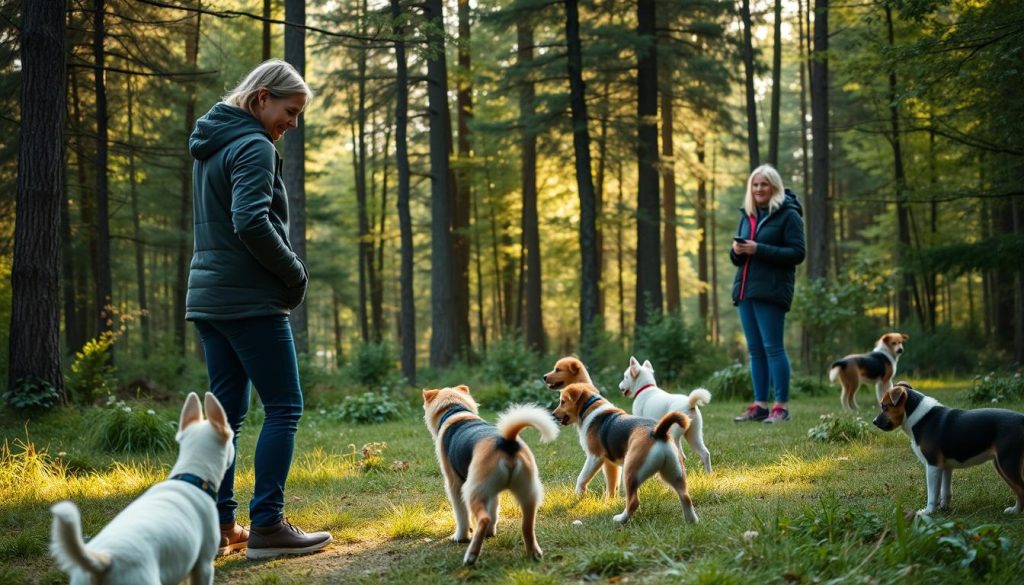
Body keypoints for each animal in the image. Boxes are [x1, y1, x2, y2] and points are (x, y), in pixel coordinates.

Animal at [421, 387, 561, 565]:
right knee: (527, 525)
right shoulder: (492, 492)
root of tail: (507, 442)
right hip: (527, 491)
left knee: (483, 518)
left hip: (473, 490)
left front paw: (460, 537)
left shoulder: (454, 484)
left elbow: (461, 515)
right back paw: (534, 553)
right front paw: (490, 533)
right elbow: (494, 509)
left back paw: (471, 555)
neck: (456, 411)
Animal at [552, 383, 696, 524]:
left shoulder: (594, 457)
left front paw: (578, 495)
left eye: (562, 402)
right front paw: (609, 502)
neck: (589, 407)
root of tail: (658, 433)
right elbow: (611, 485)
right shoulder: (611, 464)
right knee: (685, 497)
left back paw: (620, 519)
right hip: (674, 472)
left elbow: (582, 478)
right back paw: (692, 521)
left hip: (630, 471)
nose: (553, 414)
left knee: (633, 502)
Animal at [872, 383, 1024, 514]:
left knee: (1020, 489)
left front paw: (928, 512)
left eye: (885, 407)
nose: (874, 422)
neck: (917, 416)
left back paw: (1015, 511)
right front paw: (944, 508)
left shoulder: (933, 465)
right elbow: (945, 492)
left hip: (1006, 463)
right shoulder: (945, 467)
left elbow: (933, 493)